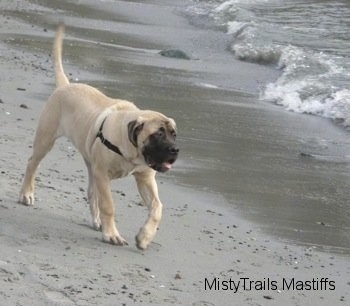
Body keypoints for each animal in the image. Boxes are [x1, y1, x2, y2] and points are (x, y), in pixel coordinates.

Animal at [18, 23, 179, 249]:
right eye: (157, 134)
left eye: (173, 134)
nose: (175, 150)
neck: (131, 149)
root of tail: (65, 85)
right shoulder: (103, 174)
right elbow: (108, 205)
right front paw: (111, 234)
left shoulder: (145, 177)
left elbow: (157, 207)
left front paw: (144, 237)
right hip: (46, 139)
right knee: (33, 163)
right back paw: (26, 194)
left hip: (90, 164)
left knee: (91, 192)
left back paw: (97, 221)